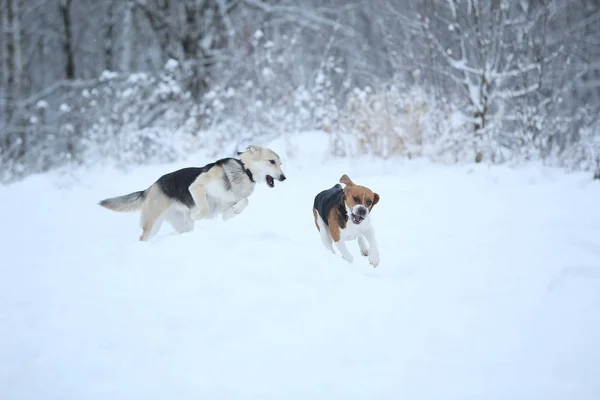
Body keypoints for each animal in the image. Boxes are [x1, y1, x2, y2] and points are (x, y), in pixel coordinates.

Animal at [98, 146, 286, 242]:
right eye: (272, 161)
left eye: (280, 163)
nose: (284, 177)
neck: (244, 171)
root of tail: (151, 187)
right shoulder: (197, 186)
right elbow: (204, 208)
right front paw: (196, 214)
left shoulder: (230, 204)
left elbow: (244, 201)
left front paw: (236, 210)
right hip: (152, 224)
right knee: (143, 236)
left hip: (178, 226)